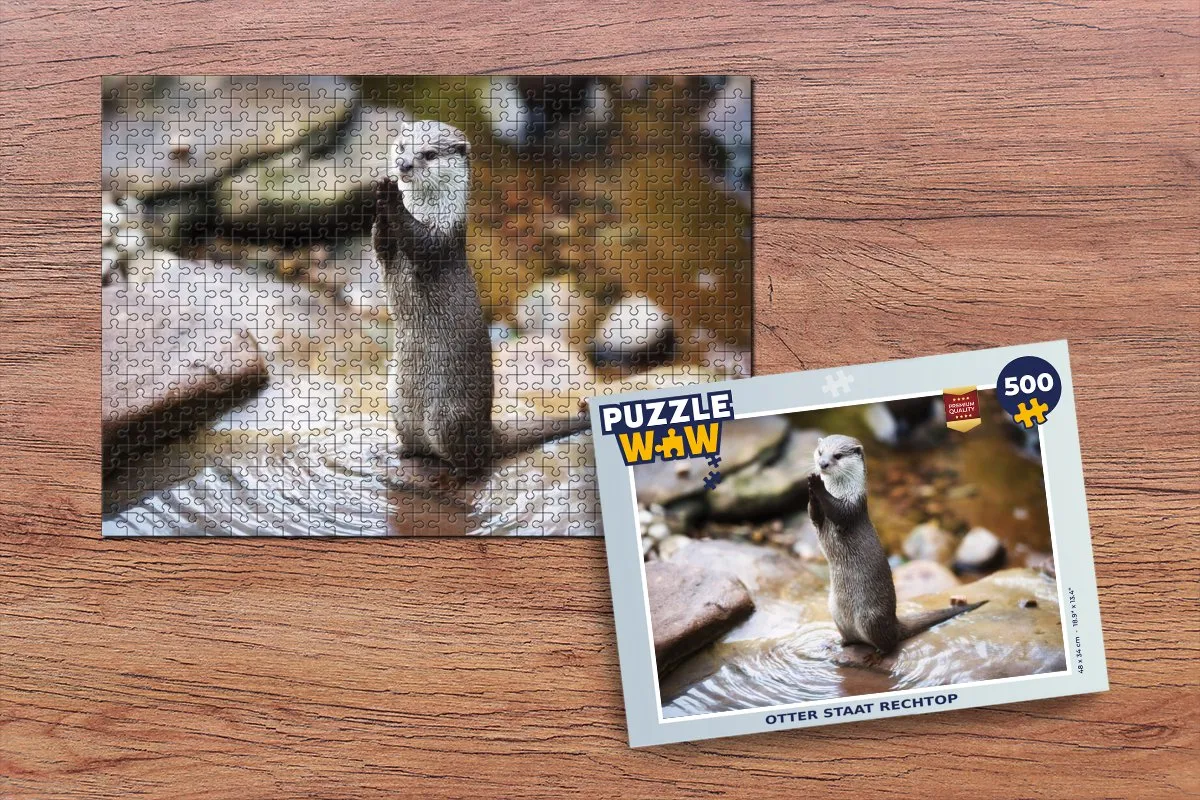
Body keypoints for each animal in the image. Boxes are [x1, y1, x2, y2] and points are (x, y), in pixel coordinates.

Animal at [372, 119, 588, 476]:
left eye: (428, 154)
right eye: (401, 146)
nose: (403, 166)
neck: (430, 211)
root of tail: (487, 429)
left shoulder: (443, 238)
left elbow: (421, 242)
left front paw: (391, 200)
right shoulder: (389, 255)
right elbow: (381, 246)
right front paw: (378, 203)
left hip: (447, 416)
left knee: (475, 459)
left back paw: (458, 471)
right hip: (396, 402)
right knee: (419, 444)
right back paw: (402, 452)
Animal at [807, 434, 986, 653]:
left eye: (838, 456)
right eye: (820, 452)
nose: (822, 464)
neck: (841, 490)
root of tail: (894, 622)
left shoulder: (853, 506)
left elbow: (839, 511)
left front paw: (817, 485)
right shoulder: (820, 519)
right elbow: (814, 515)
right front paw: (811, 489)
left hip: (870, 618)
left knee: (889, 643)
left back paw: (878, 653)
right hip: (835, 611)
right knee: (853, 637)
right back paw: (839, 643)